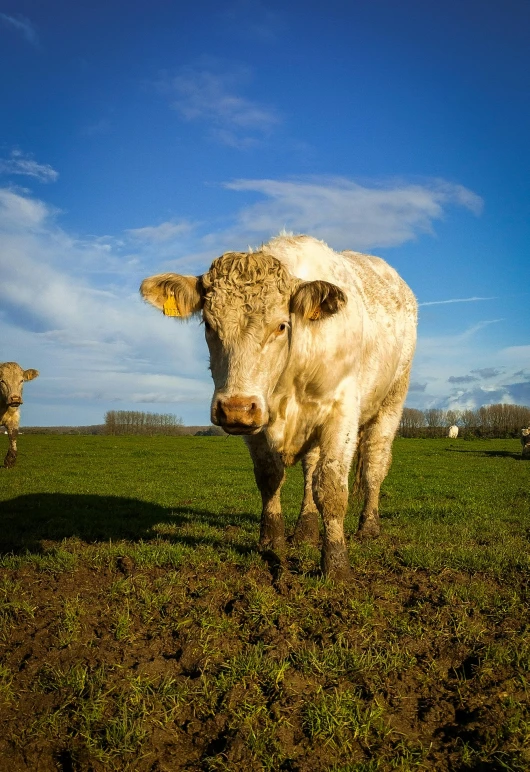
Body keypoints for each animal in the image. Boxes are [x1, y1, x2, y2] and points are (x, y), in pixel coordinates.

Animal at [140, 235, 416, 580]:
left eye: (282, 326)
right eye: (209, 326)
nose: (235, 407)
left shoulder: (341, 410)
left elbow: (331, 489)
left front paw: (336, 566)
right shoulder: (256, 420)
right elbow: (271, 476)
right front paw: (272, 541)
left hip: (392, 400)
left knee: (374, 466)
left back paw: (368, 527)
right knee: (311, 469)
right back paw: (306, 530)